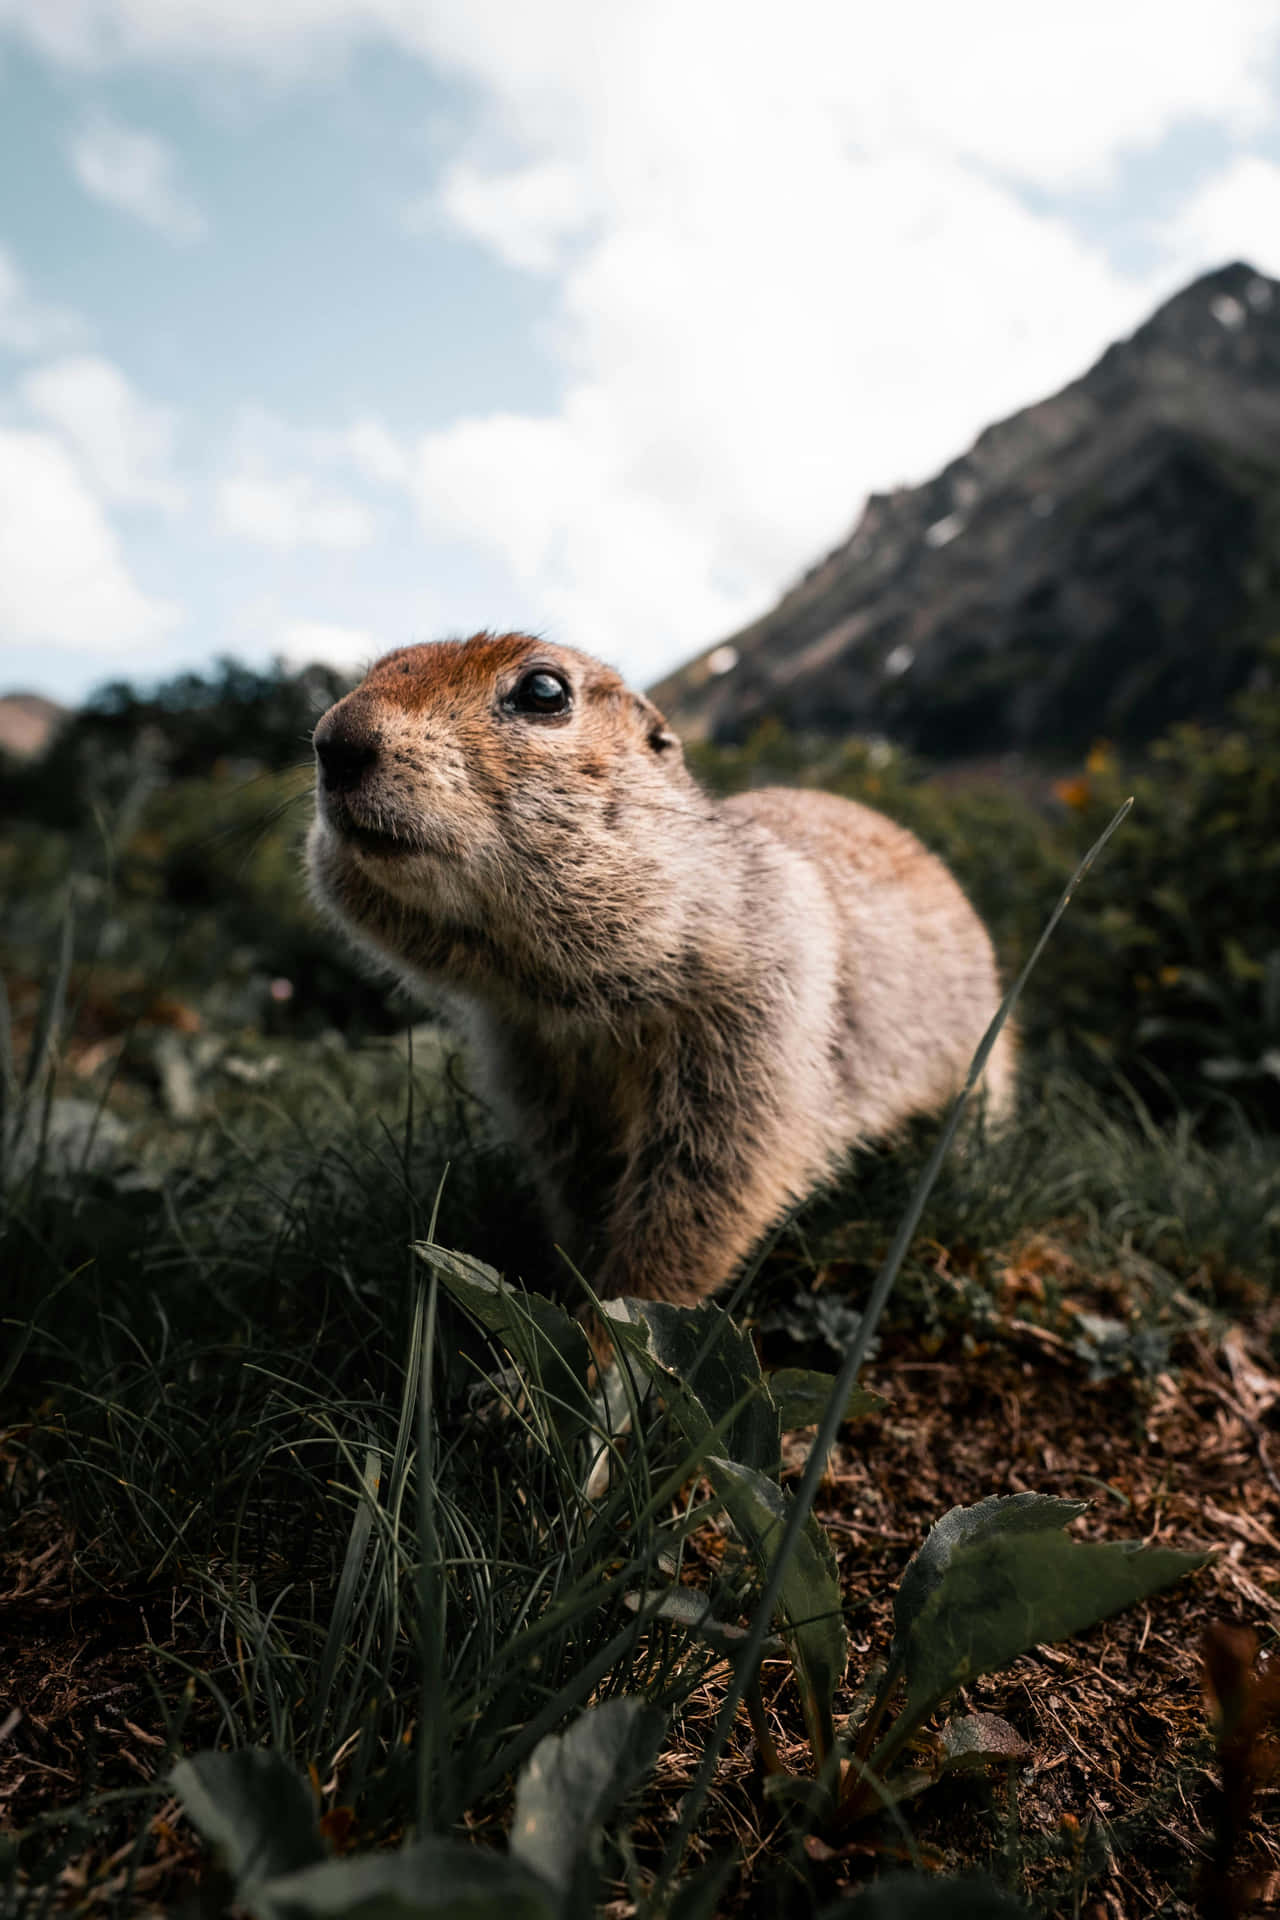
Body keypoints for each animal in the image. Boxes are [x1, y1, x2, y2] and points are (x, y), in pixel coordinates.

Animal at [305, 637, 1013, 1313]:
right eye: (378, 668)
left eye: (543, 691)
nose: (334, 741)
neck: (567, 995)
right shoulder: (532, 1060)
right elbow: (579, 1181)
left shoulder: (748, 1021)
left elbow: (710, 1178)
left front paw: (607, 1333)